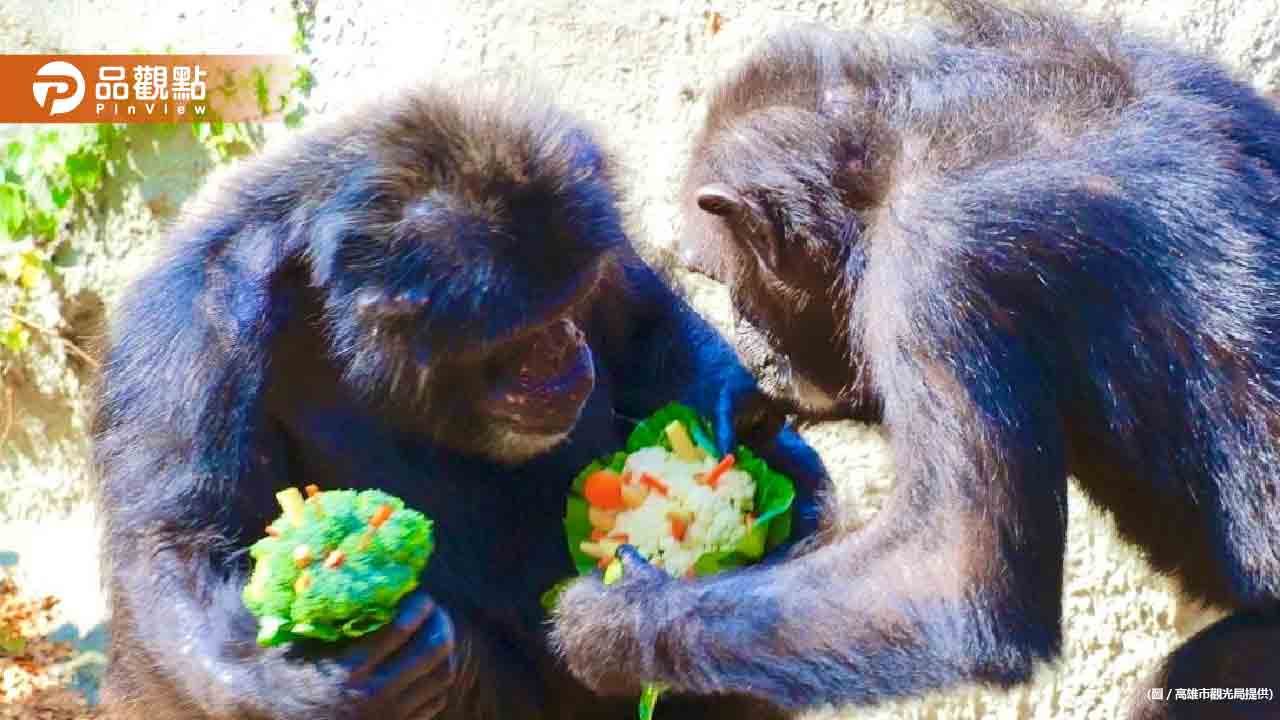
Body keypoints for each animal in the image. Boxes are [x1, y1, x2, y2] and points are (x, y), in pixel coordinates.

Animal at [94, 79, 824, 717]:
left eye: (575, 298)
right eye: (520, 332)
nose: (562, 347)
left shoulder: (596, 228)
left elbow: (642, 325)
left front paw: (767, 450)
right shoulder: (198, 335)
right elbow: (180, 542)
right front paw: (303, 683)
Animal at [555, 2, 1280, 712]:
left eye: (719, 274)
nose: (748, 339)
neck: (900, 150)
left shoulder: (932, 273)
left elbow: (947, 572)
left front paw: (615, 621)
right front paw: (735, 406)